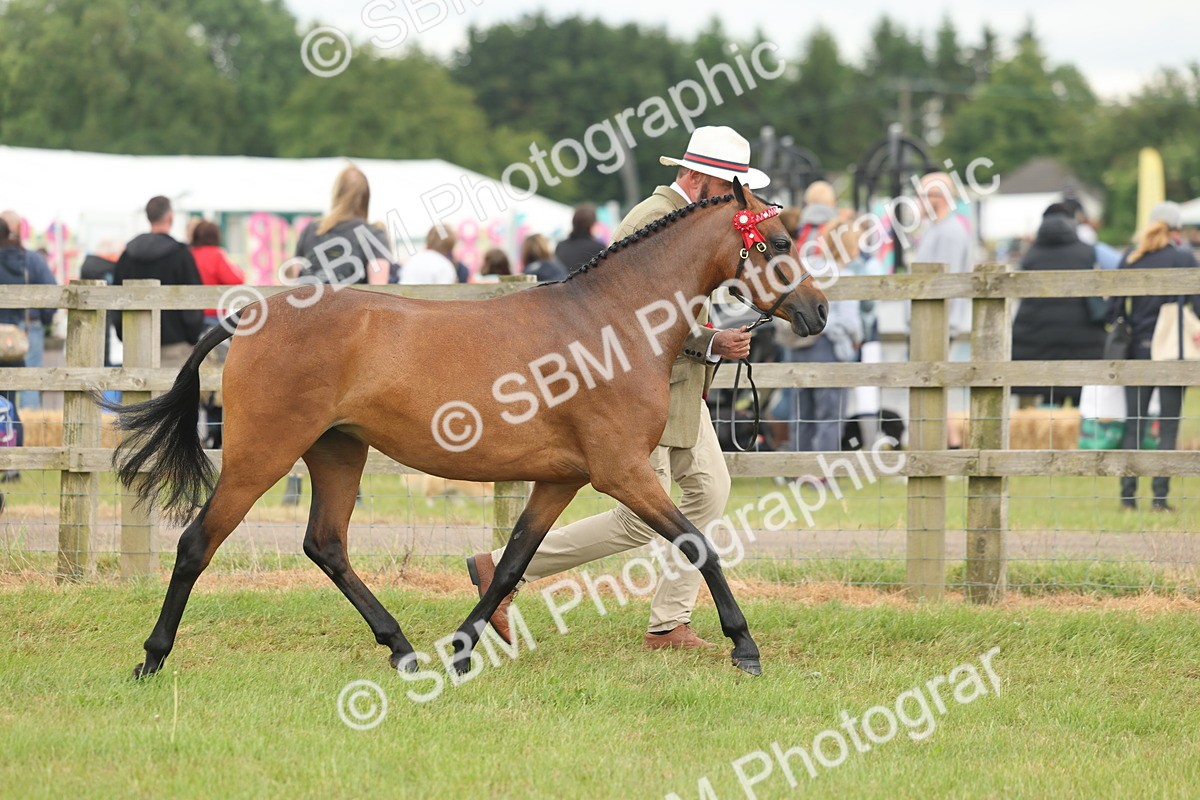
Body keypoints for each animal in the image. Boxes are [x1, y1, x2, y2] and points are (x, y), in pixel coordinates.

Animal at [106, 179, 828, 680]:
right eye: (780, 243)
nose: (818, 312)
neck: (613, 322)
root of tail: (250, 316)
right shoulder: (622, 472)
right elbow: (698, 543)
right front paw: (745, 647)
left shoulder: (561, 480)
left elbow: (509, 565)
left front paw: (460, 650)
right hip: (263, 453)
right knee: (198, 543)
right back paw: (152, 657)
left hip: (338, 452)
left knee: (327, 545)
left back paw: (402, 649)